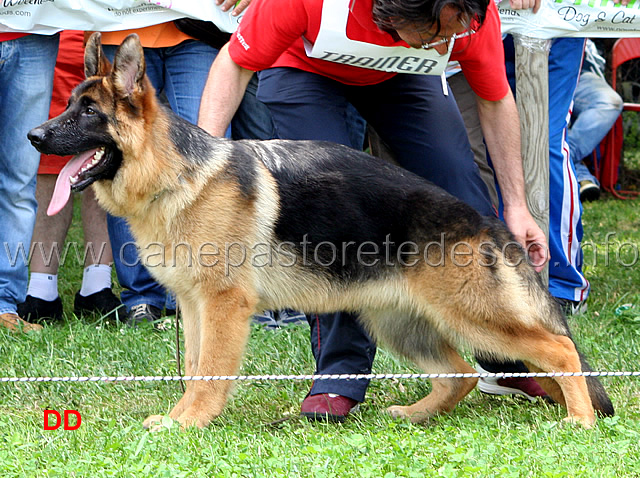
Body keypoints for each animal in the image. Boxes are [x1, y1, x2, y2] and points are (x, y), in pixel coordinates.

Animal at [27, 33, 612, 430]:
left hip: (473, 315)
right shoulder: (194, 306)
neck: (175, 175)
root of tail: (486, 219)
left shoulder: (222, 306)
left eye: (88, 112)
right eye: (69, 105)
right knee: (459, 373)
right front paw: (183, 415)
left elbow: (210, 369)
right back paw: (415, 413)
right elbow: (194, 367)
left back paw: (579, 419)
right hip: (397, 322)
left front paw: (190, 421)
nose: (33, 136)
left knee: (560, 349)